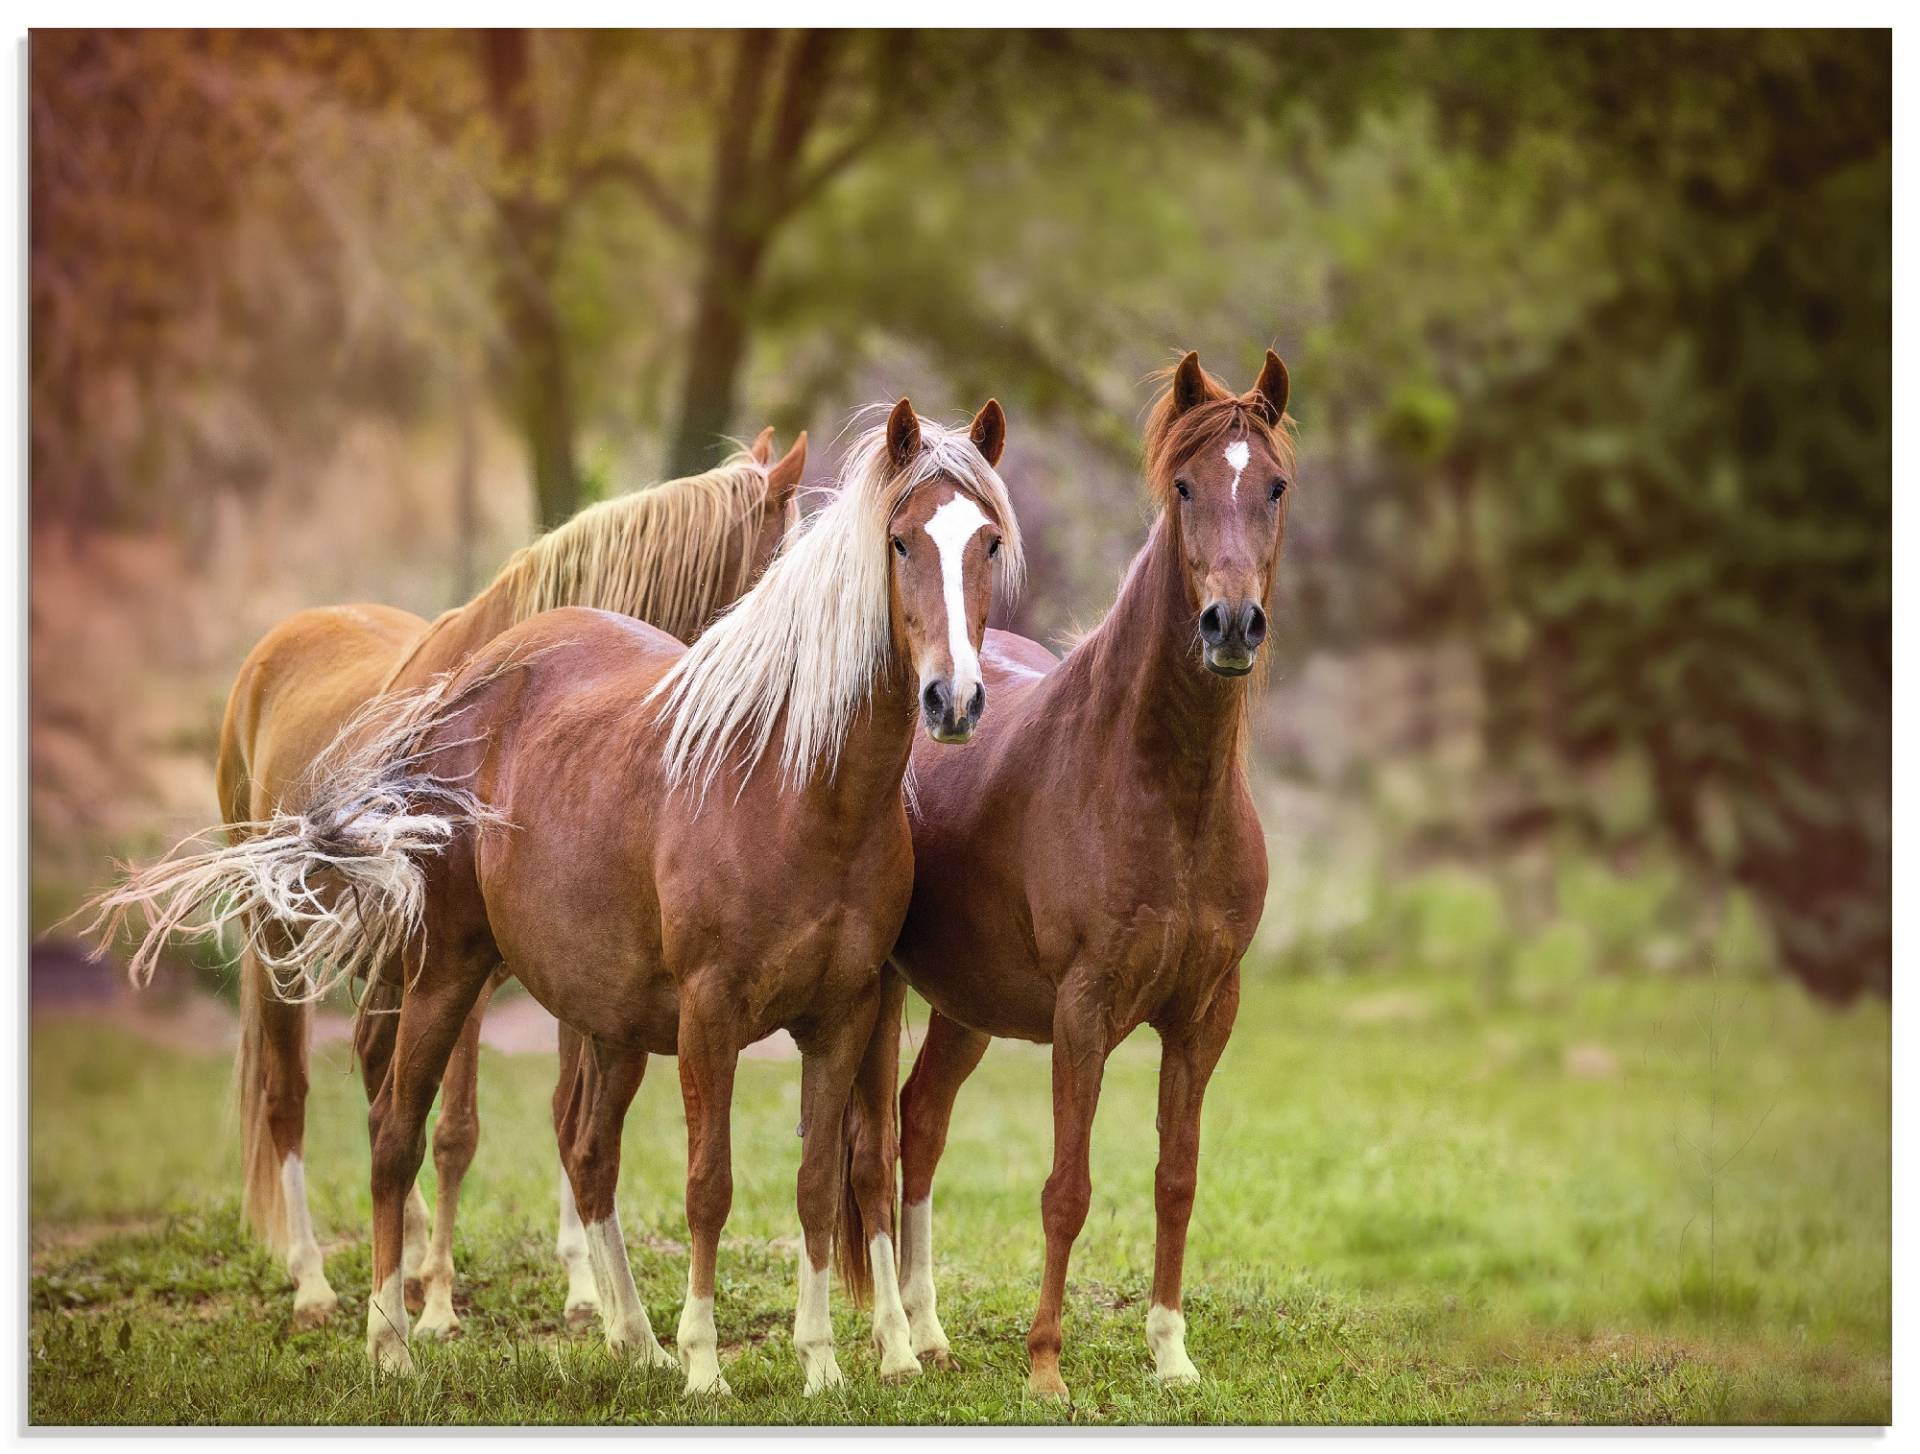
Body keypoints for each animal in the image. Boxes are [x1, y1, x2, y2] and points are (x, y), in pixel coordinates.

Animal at [137, 428, 794, 1329]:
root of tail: (275, 649)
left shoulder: (575, 965)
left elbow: (559, 1118)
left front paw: (583, 1295)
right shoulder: (470, 965)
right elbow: (456, 1131)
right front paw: (442, 1305)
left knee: (376, 1071)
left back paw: (406, 1260)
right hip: (280, 938)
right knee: (288, 1096)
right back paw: (317, 1282)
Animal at [837, 349, 1290, 1398]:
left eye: (1276, 485)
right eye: (1184, 486)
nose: (1231, 624)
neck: (1163, 791)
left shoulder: (1207, 1012)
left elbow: (1177, 1178)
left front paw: (1170, 1352)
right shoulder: (1084, 1012)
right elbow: (1067, 1189)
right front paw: (1046, 1365)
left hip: (967, 1006)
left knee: (922, 1123)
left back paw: (930, 1333)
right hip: (880, 995)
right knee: (874, 1150)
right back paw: (893, 1344)